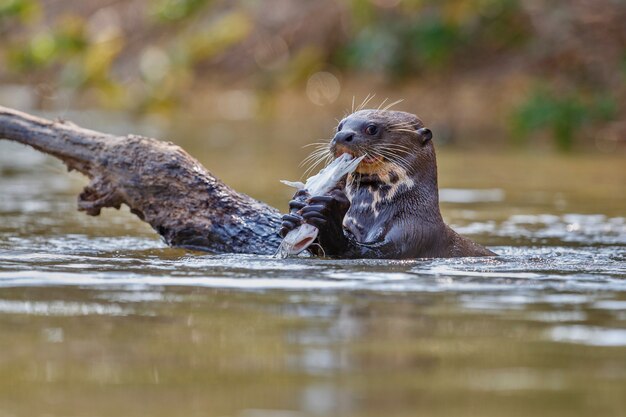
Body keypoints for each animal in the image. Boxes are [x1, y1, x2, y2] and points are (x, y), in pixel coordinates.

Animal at [280, 110, 494, 258]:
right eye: (340, 126)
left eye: (372, 128)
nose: (341, 136)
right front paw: (295, 208)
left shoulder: (412, 234)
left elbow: (365, 252)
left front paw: (327, 213)